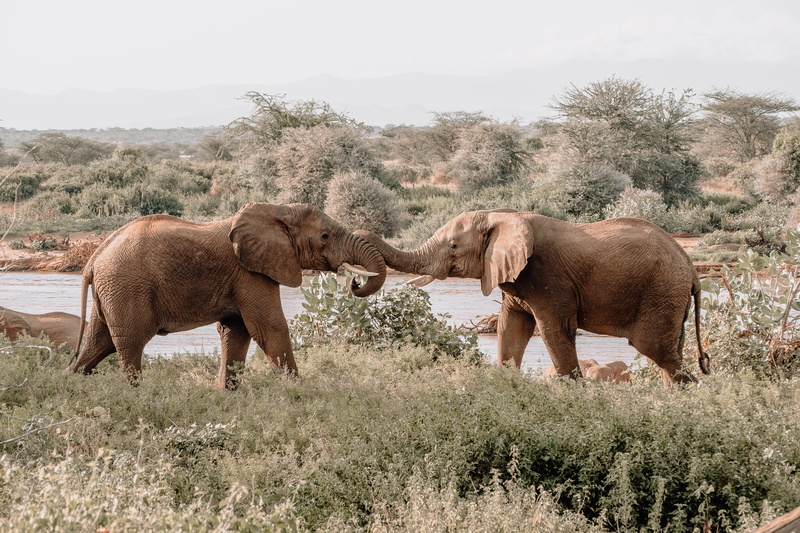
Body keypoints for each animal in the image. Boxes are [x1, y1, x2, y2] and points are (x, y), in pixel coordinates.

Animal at [69, 202, 387, 389]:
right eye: (324, 236)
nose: (354, 282)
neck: (277, 210)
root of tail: (93, 258)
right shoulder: (250, 272)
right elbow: (269, 328)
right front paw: (300, 393)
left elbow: (236, 331)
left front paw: (227, 395)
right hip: (126, 286)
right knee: (129, 342)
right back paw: (136, 395)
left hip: (112, 290)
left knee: (100, 343)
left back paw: (72, 385)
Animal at [356, 210, 710, 387]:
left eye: (453, 246)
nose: (356, 283)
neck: (502, 215)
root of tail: (691, 268)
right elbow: (510, 330)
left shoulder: (547, 278)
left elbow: (553, 333)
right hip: (669, 297)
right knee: (669, 355)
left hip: (661, 291)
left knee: (657, 351)